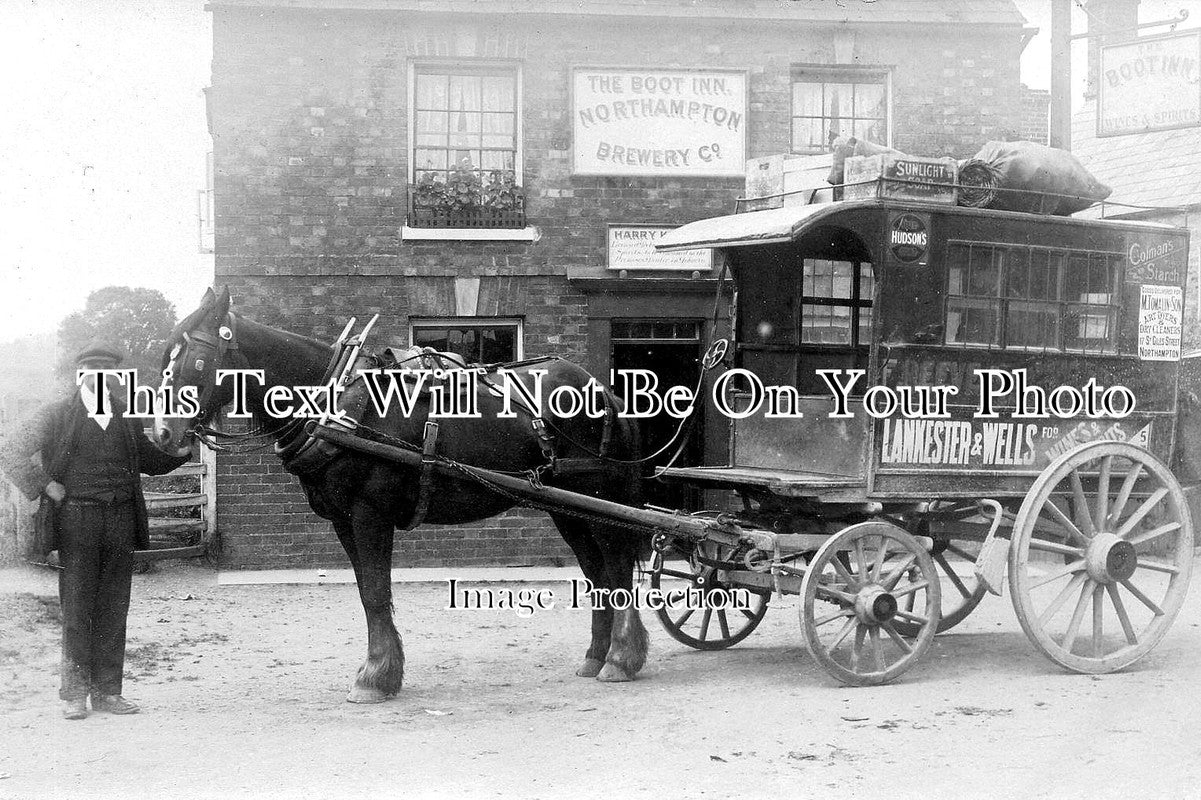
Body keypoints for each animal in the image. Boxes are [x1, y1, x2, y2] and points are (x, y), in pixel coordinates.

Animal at [156, 289, 653, 701]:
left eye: (194, 359)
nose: (162, 434)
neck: (338, 404)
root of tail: (605, 391)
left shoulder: (369, 513)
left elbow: (377, 592)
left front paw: (375, 677)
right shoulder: (343, 520)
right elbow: (365, 592)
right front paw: (381, 670)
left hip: (597, 498)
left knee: (617, 569)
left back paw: (620, 658)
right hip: (567, 508)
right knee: (597, 574)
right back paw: (596, 655)